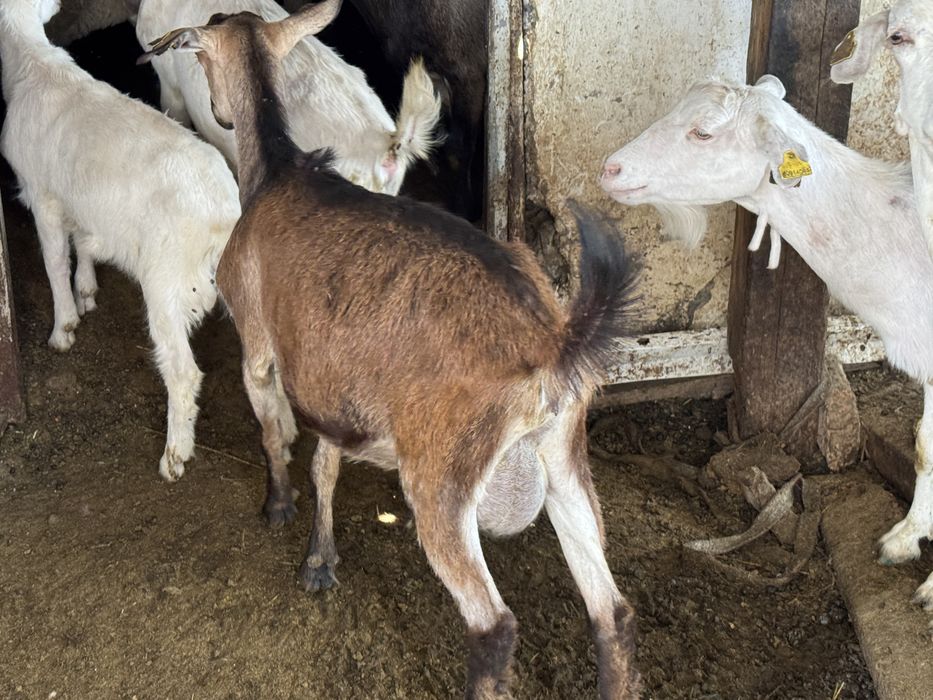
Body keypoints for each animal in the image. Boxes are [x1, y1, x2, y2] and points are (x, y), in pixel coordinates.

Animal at [0, 0, 241, 482]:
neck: (33, 63)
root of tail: (224, 215)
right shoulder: (79, 196)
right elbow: (81, 240)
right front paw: (87, 290)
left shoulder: (42, 194)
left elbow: (54, 260)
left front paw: (63, 327)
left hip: (167, 284)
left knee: (183, 374)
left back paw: (175, 455)